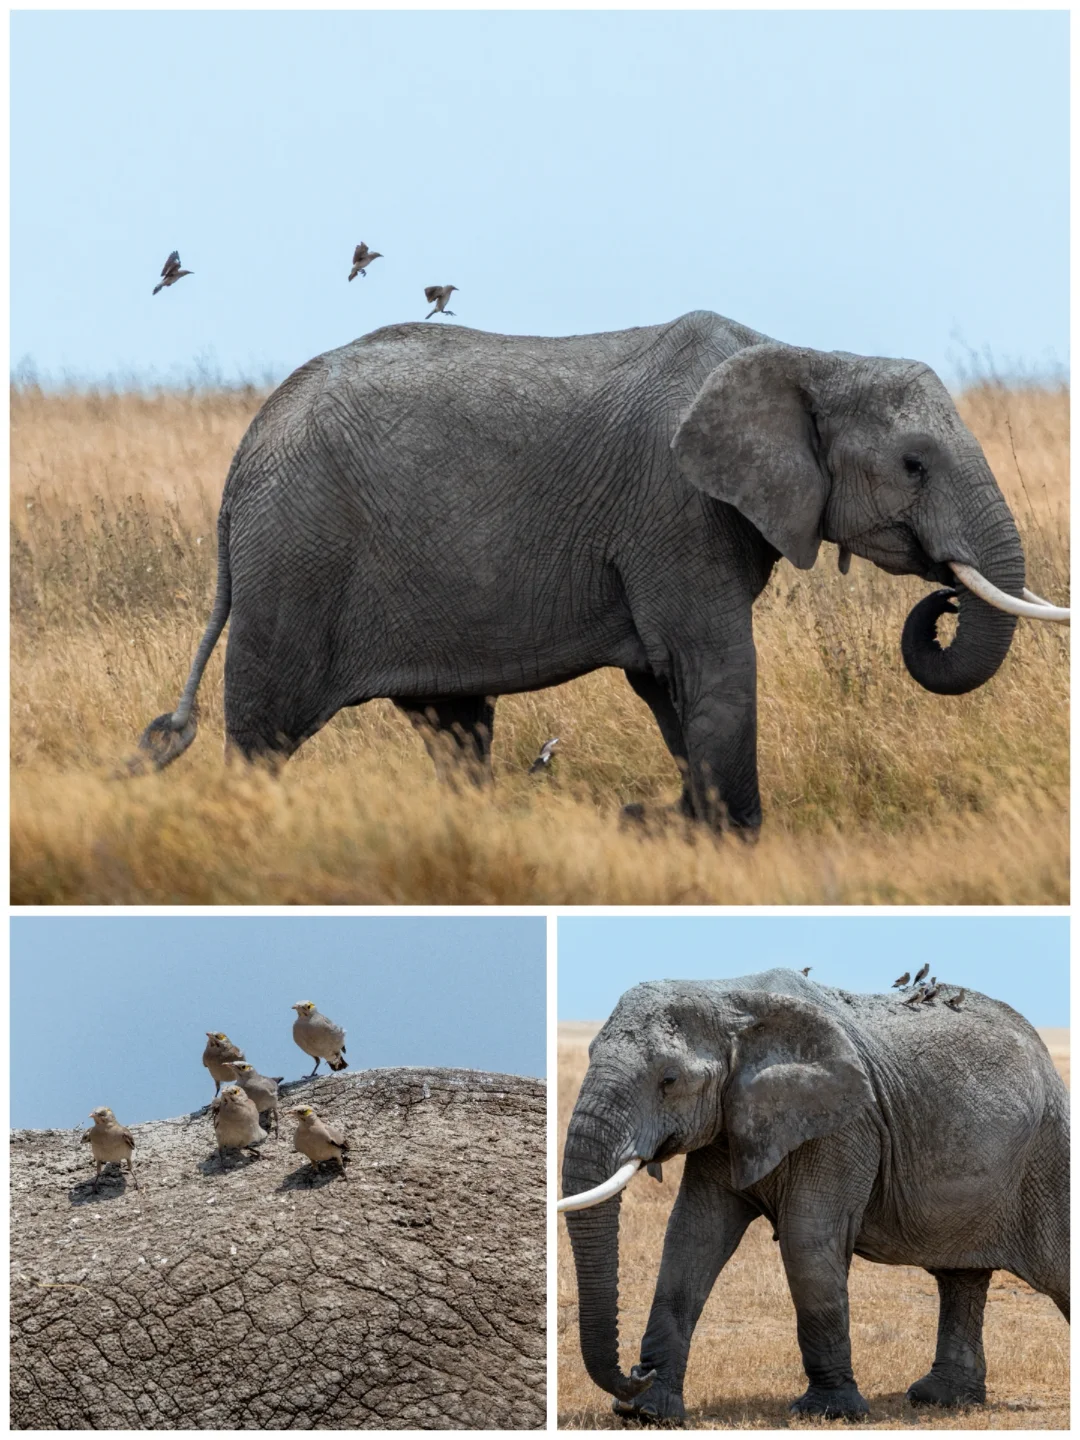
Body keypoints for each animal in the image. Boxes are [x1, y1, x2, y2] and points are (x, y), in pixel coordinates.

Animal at [138, 312, 1067, 832]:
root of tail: (245, 453)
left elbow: (672, 689)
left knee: (456, 730)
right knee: (266, 729)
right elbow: (717, 669)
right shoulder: (676, 507)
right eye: (914, 465)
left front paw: (672, 825)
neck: (806, 356)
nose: (944, 598)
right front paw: (725, 839)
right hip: (295, 557)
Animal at [559, 969, 1068, 1423]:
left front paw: (830, 1413)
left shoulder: (845, 1123)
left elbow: (807, 1241)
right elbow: (692, 1237)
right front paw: (646, 1412)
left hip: (1048, 1152)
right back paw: (940, 1400)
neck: (726, 995)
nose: (636, 1372)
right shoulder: (729, 1122)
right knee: (959, 1277)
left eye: (668, 1080)